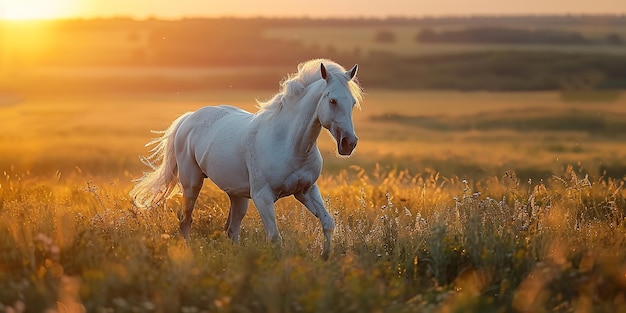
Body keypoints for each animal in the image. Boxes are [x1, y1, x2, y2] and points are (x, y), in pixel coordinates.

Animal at [131, 59, 364, 258]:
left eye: (352, 103)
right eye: (332, 100)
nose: (348, 143)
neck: (291, 144)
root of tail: (188, 118)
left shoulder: (306, 191)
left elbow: (328, 223)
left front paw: (325, 258)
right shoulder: (263, 197)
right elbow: (274, 238)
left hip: (238, 196)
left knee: (231, 230)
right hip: (192, 184)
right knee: (185, 220)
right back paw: (188, 253)